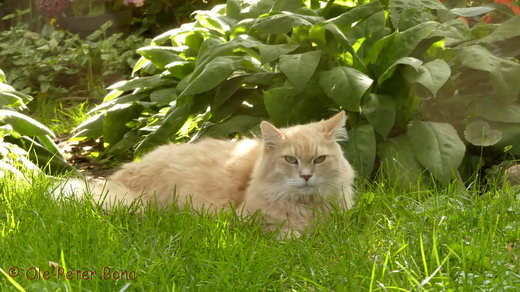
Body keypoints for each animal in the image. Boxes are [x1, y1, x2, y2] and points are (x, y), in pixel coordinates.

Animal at [57, 110, 358, 236]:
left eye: (319, 160)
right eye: (290, 160)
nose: (306, 176)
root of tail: (121, 177)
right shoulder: (248, 219)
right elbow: (291, 234)